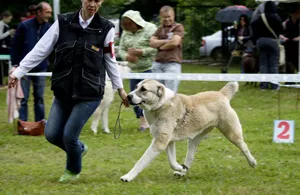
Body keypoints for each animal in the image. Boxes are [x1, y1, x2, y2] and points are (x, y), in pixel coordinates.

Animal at [120, 79, 256, 181]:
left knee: (244, 146)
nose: (128, 96)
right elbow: (172, 161)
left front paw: (128, 177)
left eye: (143, 89)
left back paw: (252, 162)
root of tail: (221, 94)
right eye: (136, 87)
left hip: (231, 133)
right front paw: (180, 168)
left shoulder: (160, 142)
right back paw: (183, 172)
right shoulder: (169, 142)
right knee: (190, 158)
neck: (161, 104)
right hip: (193, 140)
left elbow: (141, 161)